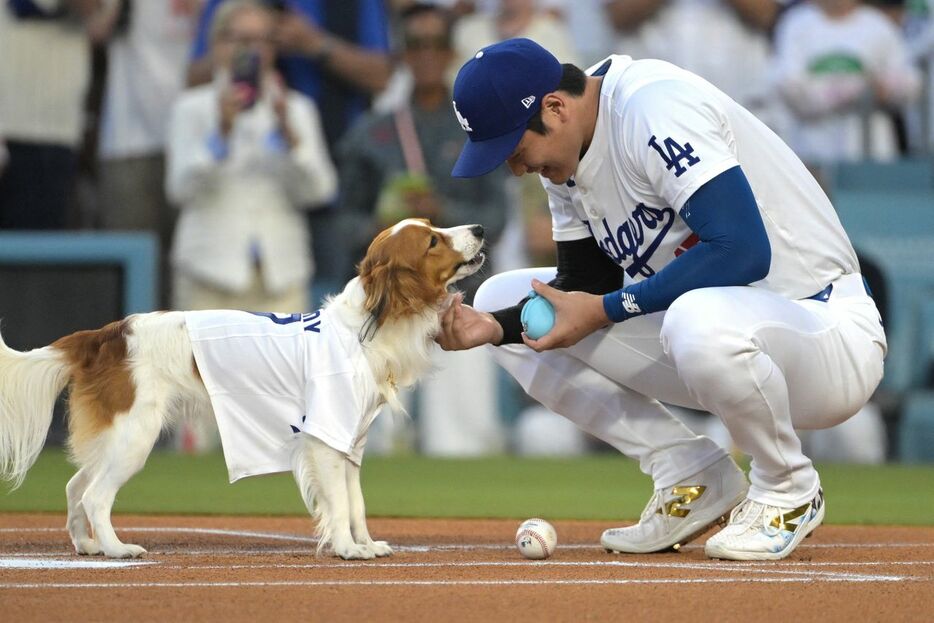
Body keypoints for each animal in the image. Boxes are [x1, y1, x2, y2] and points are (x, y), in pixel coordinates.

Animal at [0, 219, 486, 560]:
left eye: (435, 228)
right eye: (432, 241)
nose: (480, 229)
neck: (365, 325)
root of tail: (109, 334)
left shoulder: (350, 442)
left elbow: (356, 503)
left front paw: (364, 544)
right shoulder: (326, 440)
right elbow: (340, 504)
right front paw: (348, 549)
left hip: (117, 438)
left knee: (75, 487)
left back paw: (88, 546)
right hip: (135, 438)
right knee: (96, 496)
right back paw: (118, 549)